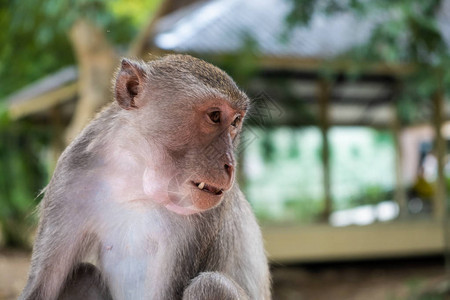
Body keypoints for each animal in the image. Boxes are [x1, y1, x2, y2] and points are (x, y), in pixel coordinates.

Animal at [19, 54, 270, 300]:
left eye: (235, 121)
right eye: (215, 116)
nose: (230, 165)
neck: (136, 178)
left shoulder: (201, 220)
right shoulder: (70, 175)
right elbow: (41, 287)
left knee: (210, 285)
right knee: (82, 274)